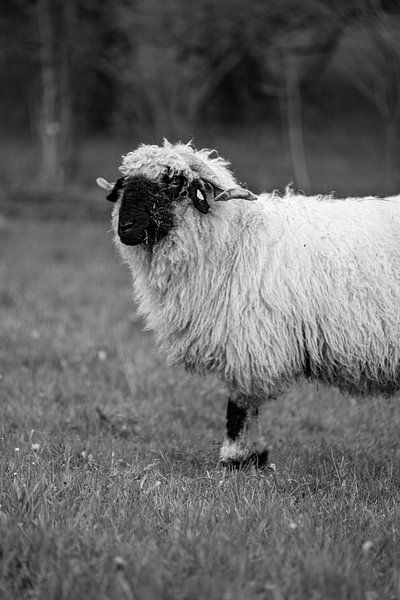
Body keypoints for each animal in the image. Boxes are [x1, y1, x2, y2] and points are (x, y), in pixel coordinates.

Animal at [97, 141, 400, 468]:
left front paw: (238, 456)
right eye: (126, 184)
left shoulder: (249, 339)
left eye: (174, 182)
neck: (235, 240)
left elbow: (240, 402)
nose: (125, 227)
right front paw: (251, 457)